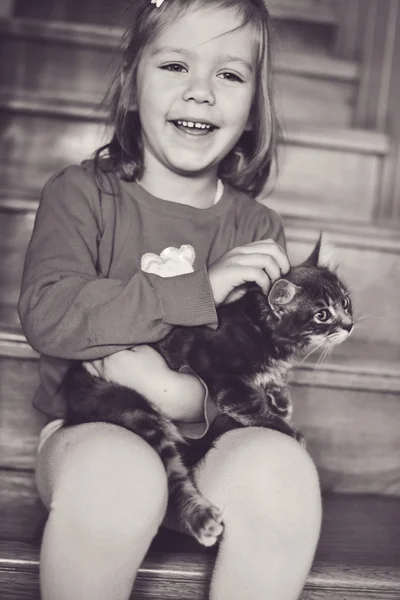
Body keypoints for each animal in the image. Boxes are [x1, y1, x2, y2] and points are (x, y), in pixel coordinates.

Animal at [62, 237, 354, 548]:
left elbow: (272, 381)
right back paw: (200, 518)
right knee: (172, 479)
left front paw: (281, 398)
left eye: (346, 302)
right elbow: (250, 404)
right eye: (322, 315)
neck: (264, 329)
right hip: (133, 408)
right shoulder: (219, 373)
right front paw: (287, 427)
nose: (349, 325)